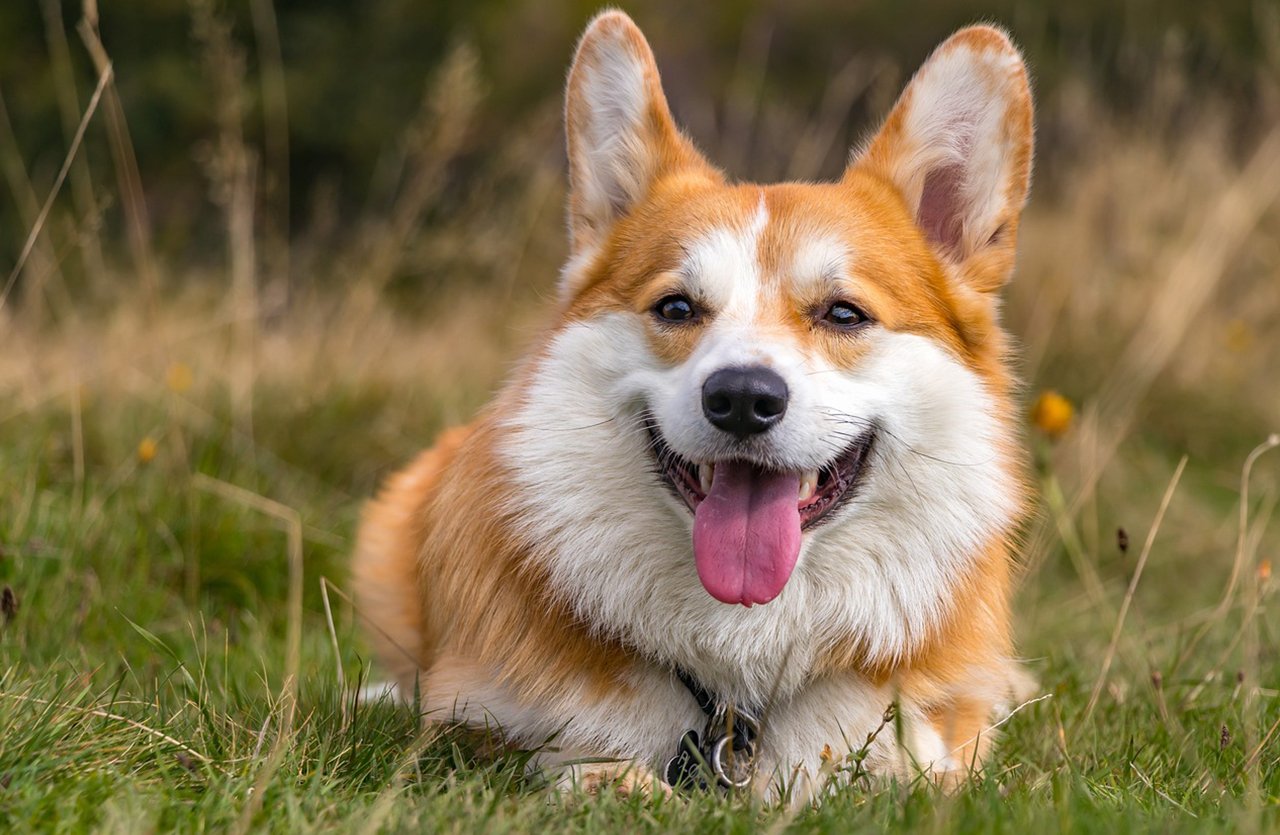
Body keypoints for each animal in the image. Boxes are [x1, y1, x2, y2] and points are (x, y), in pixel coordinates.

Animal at [353, 9, 1039, 799]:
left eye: (843, 314)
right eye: (677, 307)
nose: (741, 398)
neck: (738, 679)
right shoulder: (477, 723)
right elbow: (580, 763)